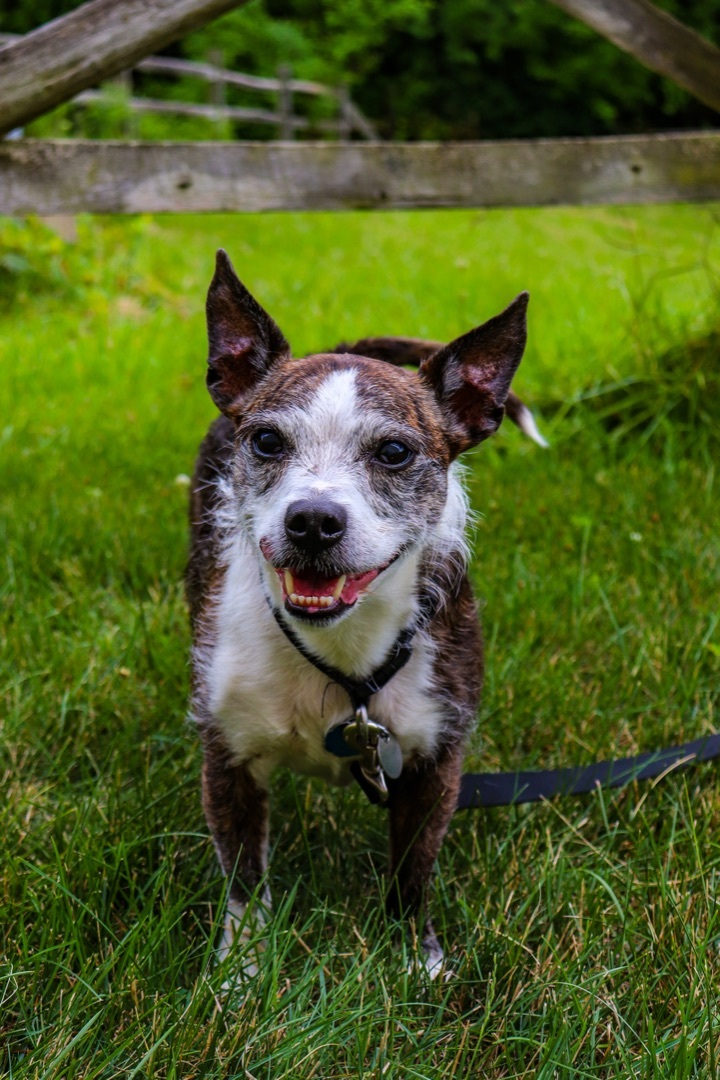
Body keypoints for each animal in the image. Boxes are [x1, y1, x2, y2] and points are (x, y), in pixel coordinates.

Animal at [185, 250, 539, 980]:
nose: (314, 520)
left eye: (394, 453)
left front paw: (416, 960)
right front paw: (241, 977)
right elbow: (243, 883)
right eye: (267, 441)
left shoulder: (434, 762)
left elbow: (412, 873)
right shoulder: (228, 758)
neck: (338, 652)